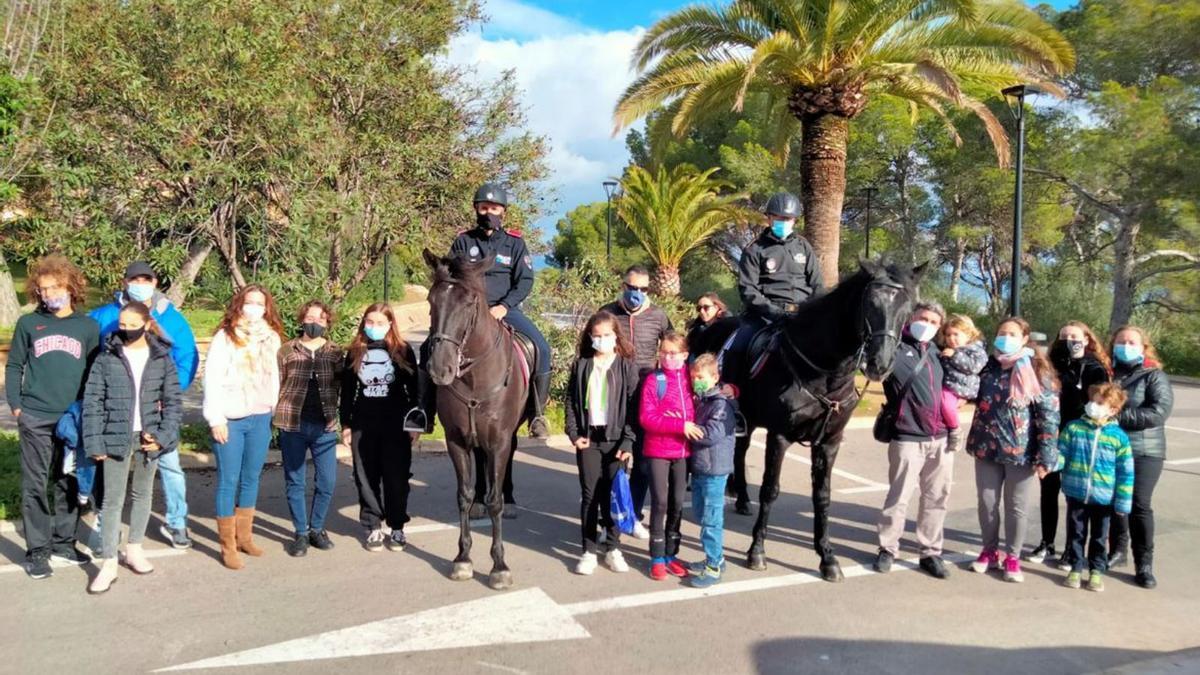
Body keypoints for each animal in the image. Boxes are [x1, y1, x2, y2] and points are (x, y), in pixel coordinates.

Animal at [427, 248, 530, 588]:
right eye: (432, 300)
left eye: (470, 302)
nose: (440, 369)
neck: (473, 377)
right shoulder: (456, 441)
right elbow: (464, 495)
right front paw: (463, 558)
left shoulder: (499, 441)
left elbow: (495, 497)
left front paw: (499, 565)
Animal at [720, 257, 926, 578]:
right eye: (870, 304)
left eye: (909, 309)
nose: (880, 364)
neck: (821, 373)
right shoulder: (779, 436)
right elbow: (770, 490)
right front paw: (757, 551)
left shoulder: (830, 441)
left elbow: (823, 496)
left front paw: (827, 556)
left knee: (739, 453)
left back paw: (742, 499)